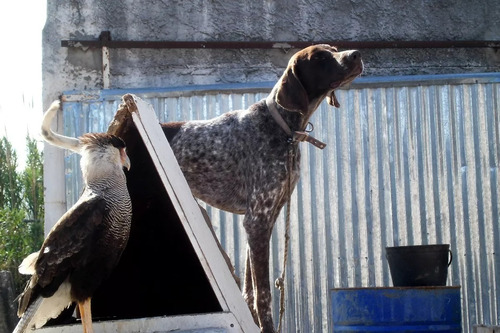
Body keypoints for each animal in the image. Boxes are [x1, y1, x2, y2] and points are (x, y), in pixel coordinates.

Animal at [162, 44, 362, 332]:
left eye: (334, 50)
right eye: (319, 58)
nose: (356, 54)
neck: (284, 129)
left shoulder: (267, 217)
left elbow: (249, 288)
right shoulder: (257, 220)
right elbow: (263, 294)